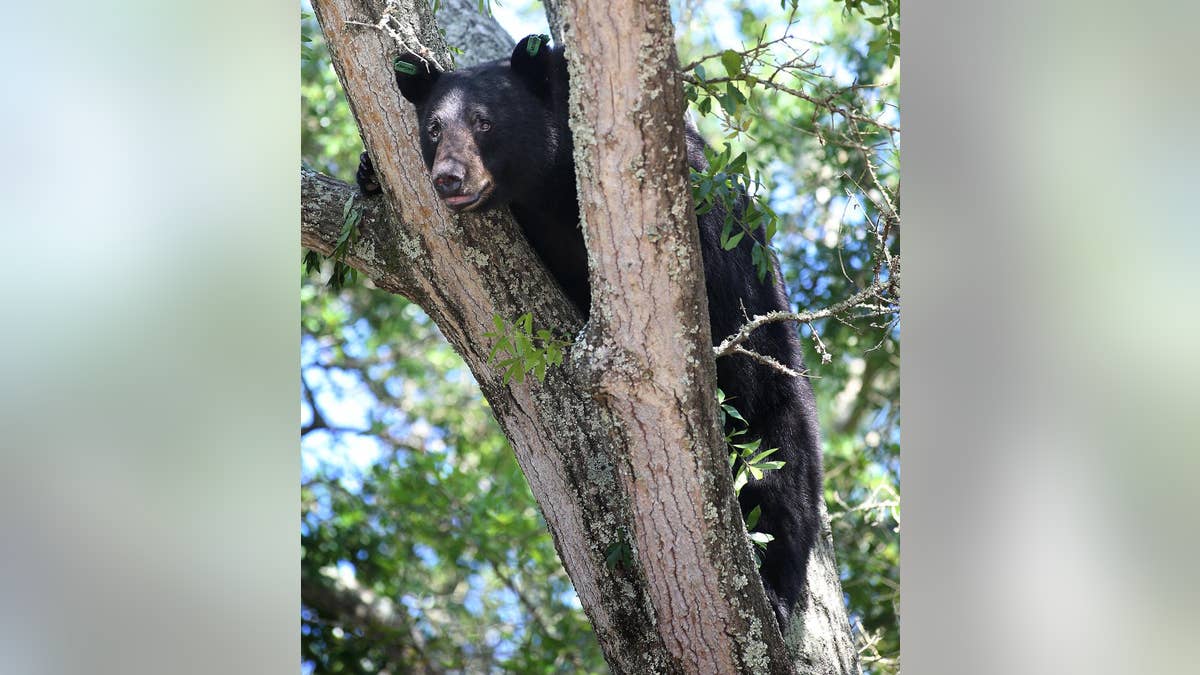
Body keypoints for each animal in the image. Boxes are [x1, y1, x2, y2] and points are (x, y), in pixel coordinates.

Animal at [355, 35, 825, 624]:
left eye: (485, 122)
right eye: (435, 127)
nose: (449, 178)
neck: (551, 185)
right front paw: (369, 172)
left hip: (773, 384)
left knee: (782, 470)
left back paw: (778, 591)